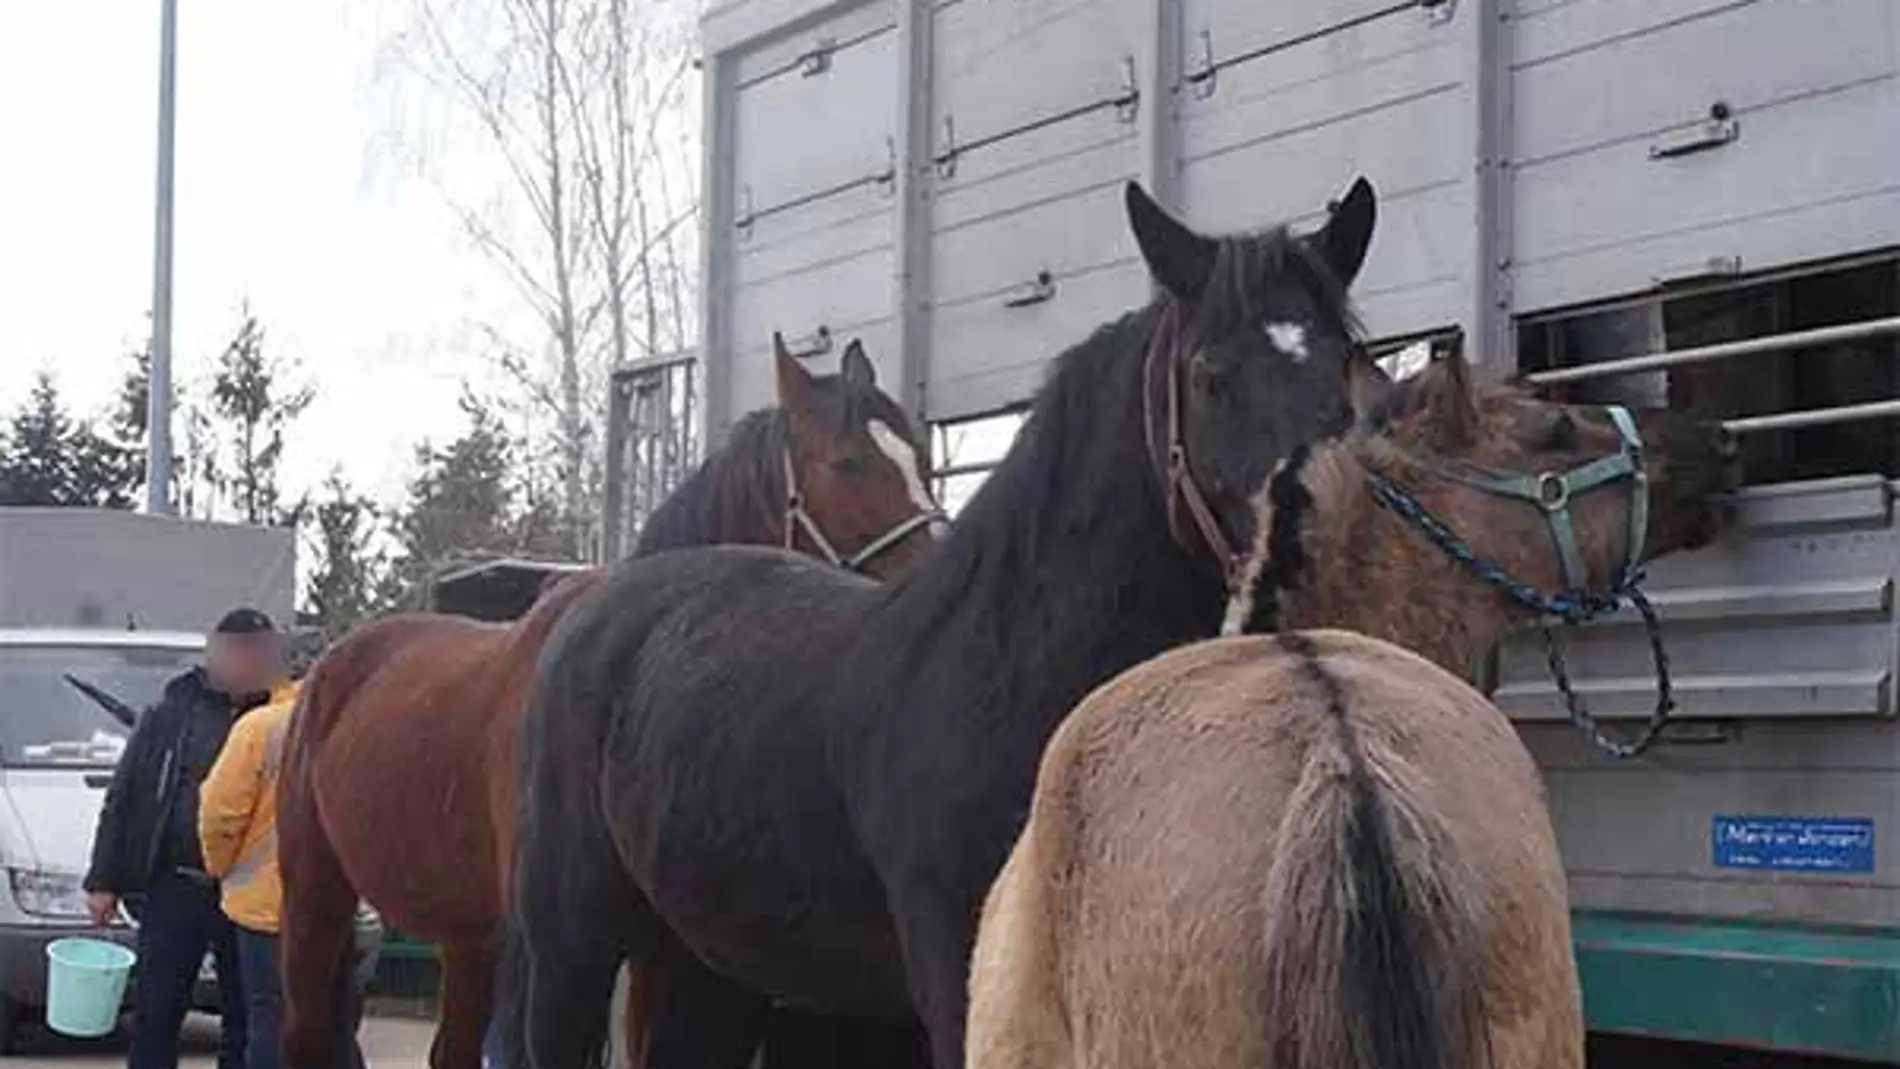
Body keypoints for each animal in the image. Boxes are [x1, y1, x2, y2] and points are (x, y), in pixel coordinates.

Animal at [273, 337, 942, 1069]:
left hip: (466, 939)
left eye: (920, 460)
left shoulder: (666, 956)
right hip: (317, 898)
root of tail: (328, 668)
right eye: (847, 463)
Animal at [501, 175, 1383, 1069]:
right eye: (1208, 374)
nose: (1326, 541)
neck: (1011, 672)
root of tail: (594, 607)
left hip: (708, 962)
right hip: (571, 945)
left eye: (1346, 361)